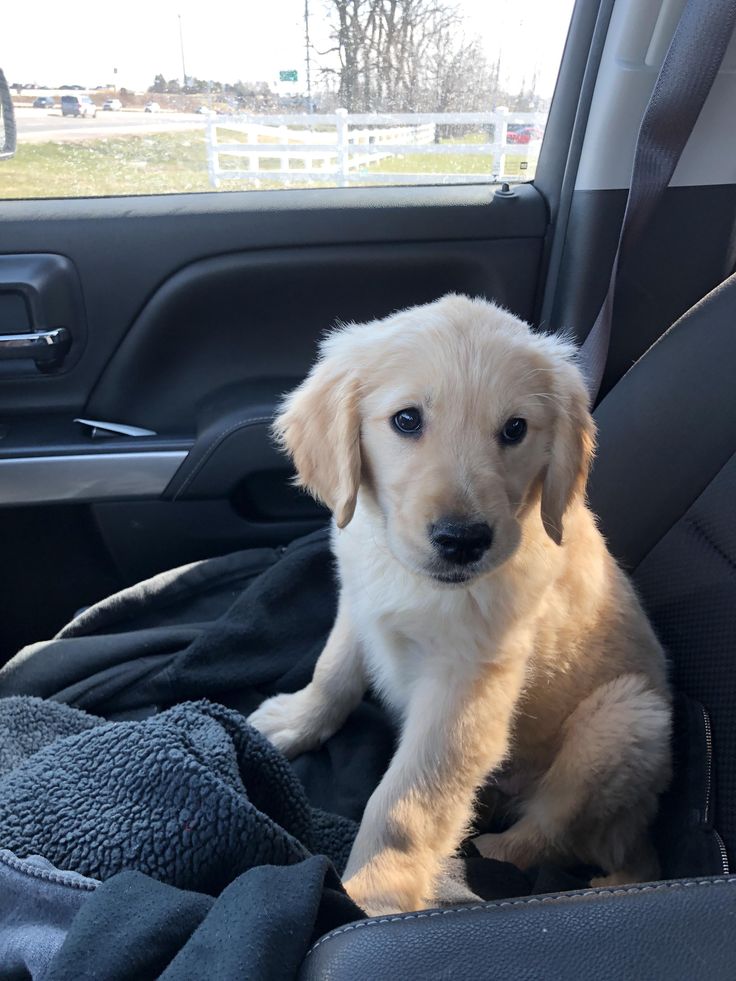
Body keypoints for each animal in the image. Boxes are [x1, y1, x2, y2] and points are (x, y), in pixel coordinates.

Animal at [249, 294, 672, 916]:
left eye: (515, 429)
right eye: (406, 420)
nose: (463, 540)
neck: (415, 580)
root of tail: (638, 837)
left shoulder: (466, 689)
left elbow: (407, 799)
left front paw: (376, 890)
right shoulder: (358, 603)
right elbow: (333, 673)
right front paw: (295, 720)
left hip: (627, 721)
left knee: (549, 831)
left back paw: (489, 854)